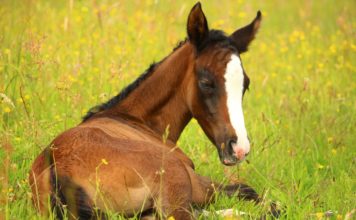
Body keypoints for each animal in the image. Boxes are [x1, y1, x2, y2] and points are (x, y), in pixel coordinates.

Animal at [29, 2, 268, 219]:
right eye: (206, 82)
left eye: (246, 84)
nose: (239, 149)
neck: (137, 120)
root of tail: (57, 172)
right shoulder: (198, 184)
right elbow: (248, 191)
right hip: (176, 181)